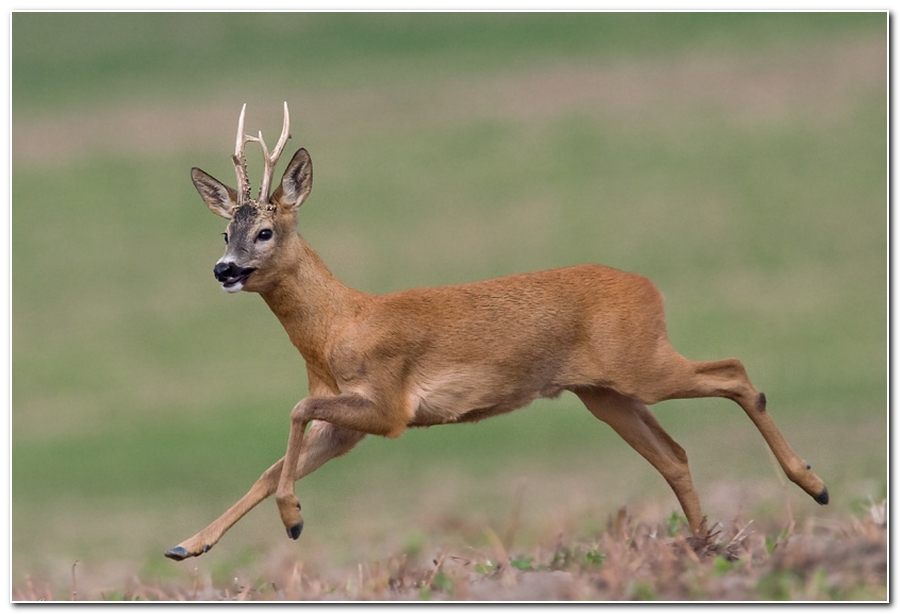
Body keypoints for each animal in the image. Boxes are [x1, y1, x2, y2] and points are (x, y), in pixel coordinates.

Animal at [163, 102, 828, 564]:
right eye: (224, 232)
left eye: (265, 232)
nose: (225, 270)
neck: (338, 327)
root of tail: (648, 287)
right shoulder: (348, 425)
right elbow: (273, 464)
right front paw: (188, 545)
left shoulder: (389, 407)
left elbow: (295, 413)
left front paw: (294, 520)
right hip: (605, 393)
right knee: (676, 453)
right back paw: (709, 548)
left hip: (641, 364)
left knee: (736, 373)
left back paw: (812, 486)